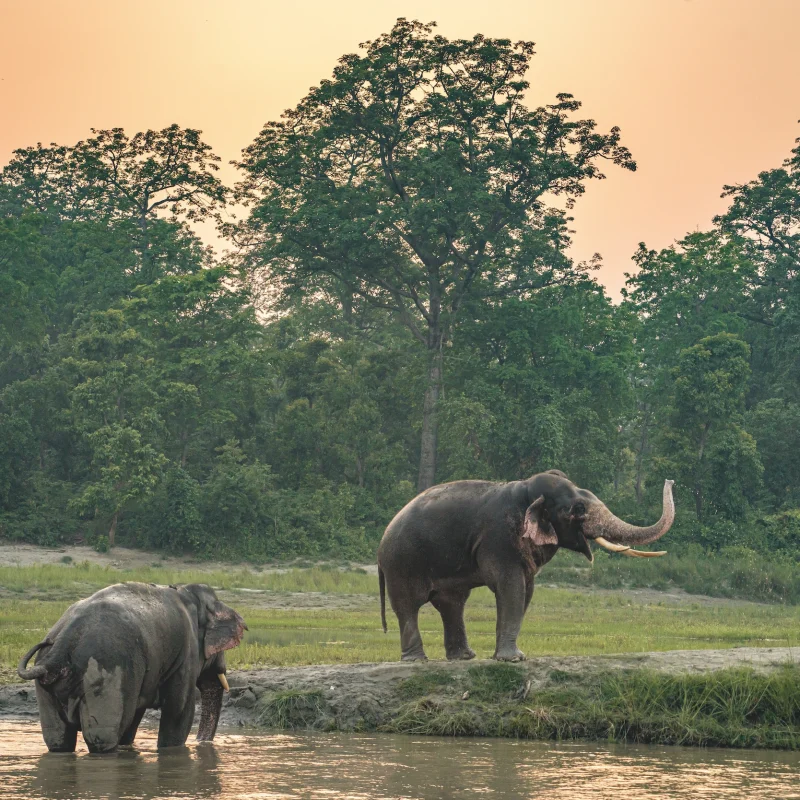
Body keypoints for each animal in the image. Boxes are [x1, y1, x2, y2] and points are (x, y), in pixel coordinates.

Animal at [17, 582, 246, 753]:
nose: (201, 743)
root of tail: (61, 645)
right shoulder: (185, 653)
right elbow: (178, 709)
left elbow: (136, 713)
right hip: (107, 674)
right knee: (102, 737)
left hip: (49, 683)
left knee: (58, 738)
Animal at [377, 470, 675, 662]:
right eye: (578, 509)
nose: (670, 480)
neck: (525, 490)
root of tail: (381, 545)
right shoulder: (499, 538)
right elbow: (511, 587)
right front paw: (514, 660)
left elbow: (526, 590)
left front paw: (505, 657)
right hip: (402, 563)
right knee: (408, 606)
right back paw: (417, 660)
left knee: (452, 604)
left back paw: (464, 657)